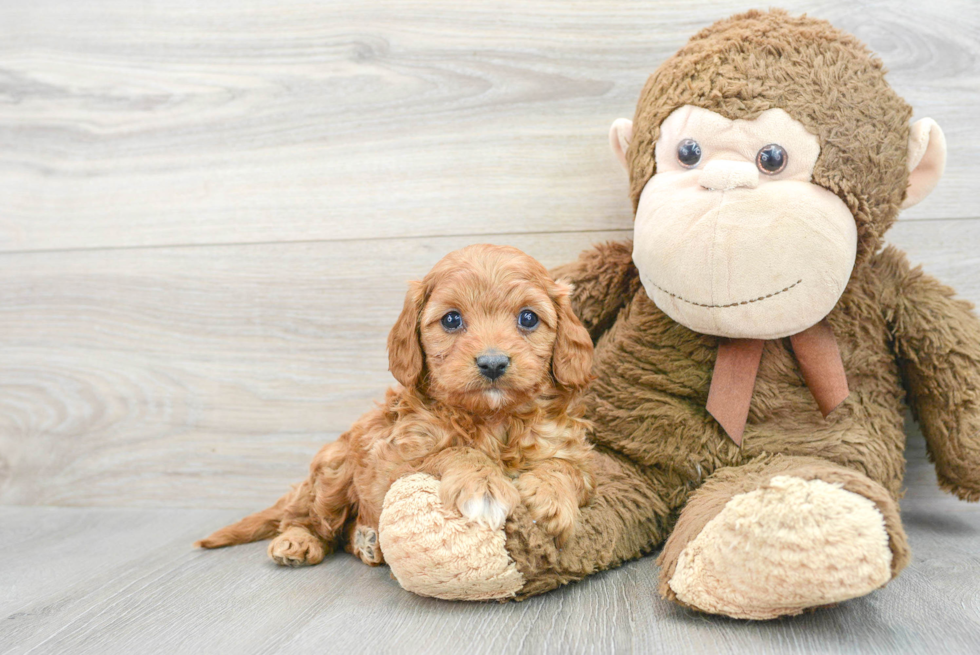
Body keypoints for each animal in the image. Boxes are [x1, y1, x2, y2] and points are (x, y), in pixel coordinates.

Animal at [197, 243, 596, 568]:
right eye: (451, 319)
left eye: (528, 317)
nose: (493, 363)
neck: (495, 419)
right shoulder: (397, 461)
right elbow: (453, 452)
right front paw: (483, 485)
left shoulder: (577, 456)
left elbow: (566, 468)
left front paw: (549, 498)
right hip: (334, 470)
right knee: (308, 518)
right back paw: (298, 540)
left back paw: (367, 542)